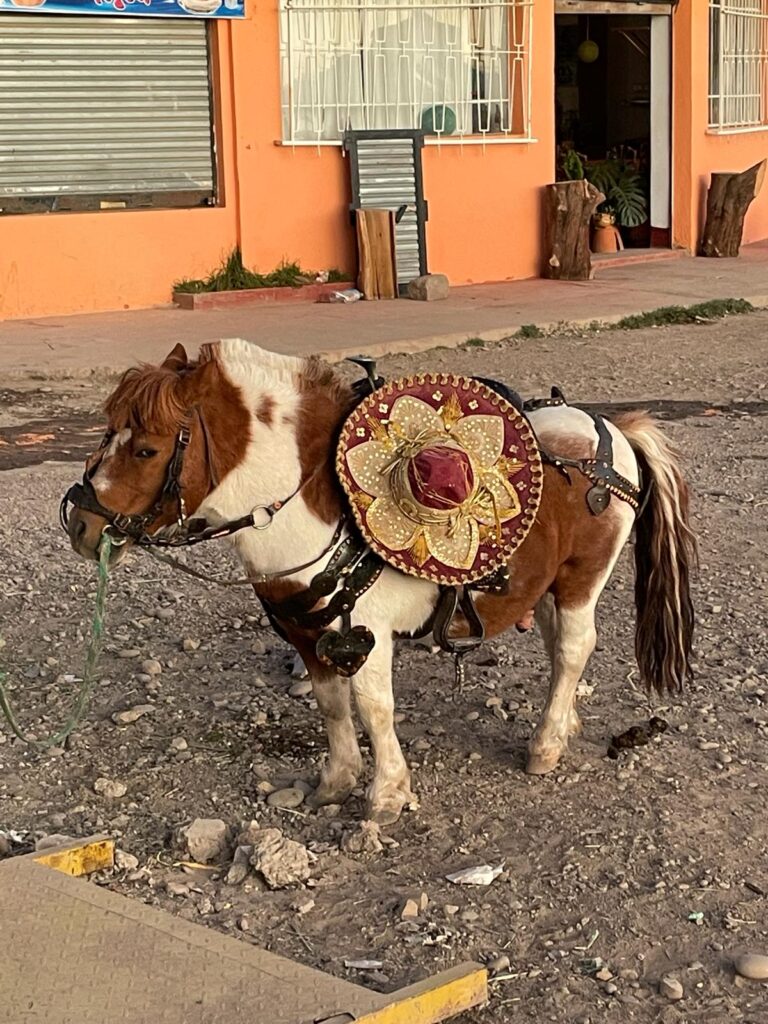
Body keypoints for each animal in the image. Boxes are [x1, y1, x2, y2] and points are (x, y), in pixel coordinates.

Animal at [67, 339, 696, 827]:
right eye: (107, 432)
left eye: (146, 447)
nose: (79, 523)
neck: (325, 511)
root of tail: (610, 427)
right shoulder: (308, 634)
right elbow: (331, 706)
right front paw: (337, 780)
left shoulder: (367, 634)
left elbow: (374, 709)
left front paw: (386, 794)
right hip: (543, 585)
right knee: (558, 647)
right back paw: (562, 724)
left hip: (581, 578)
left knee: (573, 647)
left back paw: (544, 745)